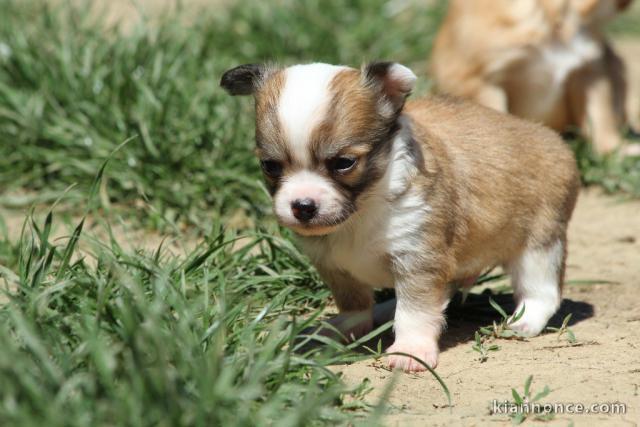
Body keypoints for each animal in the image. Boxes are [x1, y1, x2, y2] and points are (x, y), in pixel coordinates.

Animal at [220, 61, 580, 372]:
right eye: (270, 166)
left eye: (344, 163)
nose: (302, 206)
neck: (362, 210)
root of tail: (550, 138)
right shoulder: (333, 265)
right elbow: (354, 302)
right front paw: (348, 327)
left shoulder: (418, 258)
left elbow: (415, 311)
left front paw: (410, 351)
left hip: (539, 243)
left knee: (542, 290)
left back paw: (525, 320)